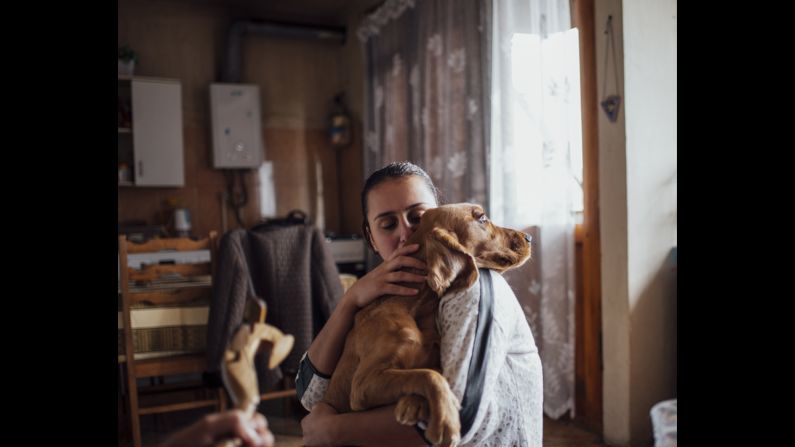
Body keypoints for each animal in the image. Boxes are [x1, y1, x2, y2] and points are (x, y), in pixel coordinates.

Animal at [320, 205, 532, 447]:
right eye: (482, 218)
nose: (529, 237)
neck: (413, 305)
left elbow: (433, 371)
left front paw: (411, 404)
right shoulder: (363, 383)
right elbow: (429, 376)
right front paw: (446, 421)